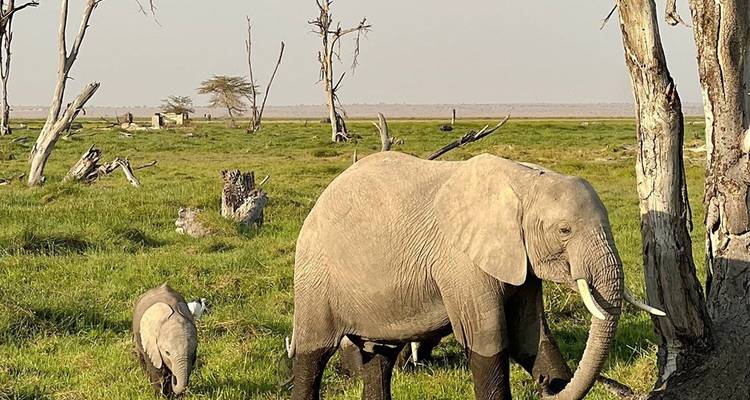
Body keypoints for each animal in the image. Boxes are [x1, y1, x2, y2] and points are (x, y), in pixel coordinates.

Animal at [288, 152, 664, 400]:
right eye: (564, 230)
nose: (546, 385)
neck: (526, 182)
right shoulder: (461, 263)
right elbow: (487, 341)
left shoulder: (521, 263)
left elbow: (530, 336)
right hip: (314, 274)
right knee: (312, 357)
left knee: (381, 358)